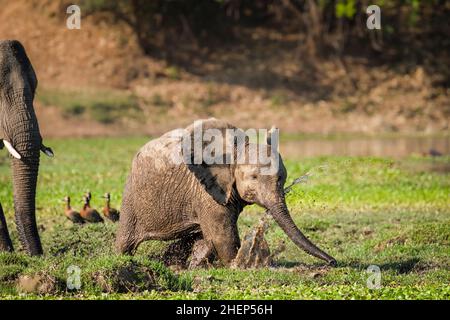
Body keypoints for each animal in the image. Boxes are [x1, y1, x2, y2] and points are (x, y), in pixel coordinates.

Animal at [118, 119, 336, 266]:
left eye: (282, 177)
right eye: (254, 177)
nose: (333, 262)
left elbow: (211, 239)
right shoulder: (206, 190)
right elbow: (223, 239)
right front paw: (238, 264)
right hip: (131, 194)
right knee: (124, 243)